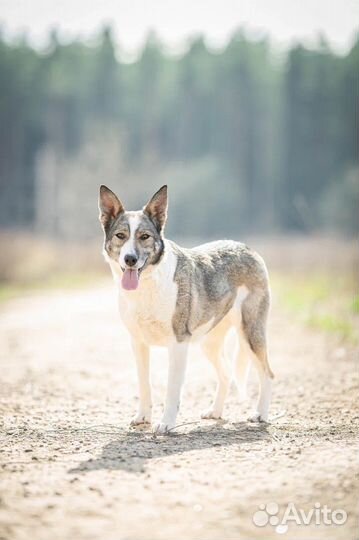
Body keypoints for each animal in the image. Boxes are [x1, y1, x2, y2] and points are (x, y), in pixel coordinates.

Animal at [97, 186, 272, 434]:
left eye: (144, 237)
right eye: (121, 236)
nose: (130, 259)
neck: (149, 283)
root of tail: (246, 248)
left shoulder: (178, 344)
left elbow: (172, 390)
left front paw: (166, 423)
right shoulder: (138, 344)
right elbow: (144, 385)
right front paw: (143, 417)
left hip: (250, 333)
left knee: (267, 373)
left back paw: (260, 414)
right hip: (209, 343)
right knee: (226, 373)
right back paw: (215, 412)